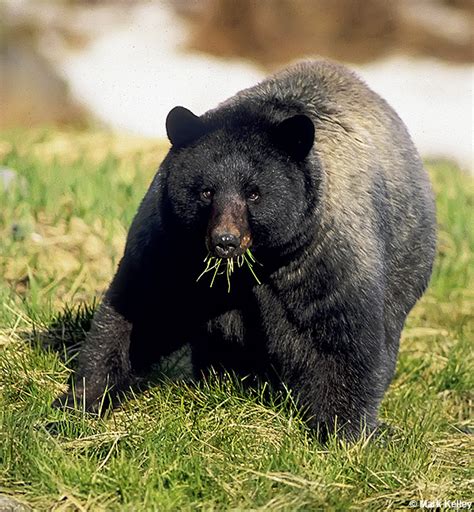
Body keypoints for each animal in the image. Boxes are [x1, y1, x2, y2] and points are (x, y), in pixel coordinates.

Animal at [55, 60, 436, 442]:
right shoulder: (172, 245)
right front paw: (78, 403)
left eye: (254, 193)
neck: (253, 266)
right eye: (206, 191)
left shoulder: (323, 258)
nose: (225, 241)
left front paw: (344, 433)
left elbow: (341, 338)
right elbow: (143, 308)